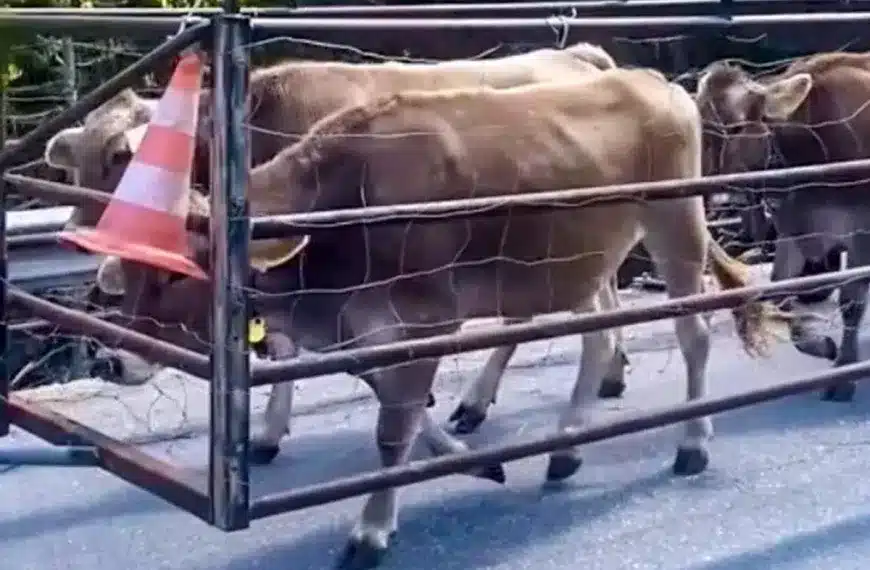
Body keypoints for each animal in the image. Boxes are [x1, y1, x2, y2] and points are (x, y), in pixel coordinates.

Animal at [78, 67, 775, 567]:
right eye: (130, 271)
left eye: (176, 273)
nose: (112, 358)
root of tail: (648, 79)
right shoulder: (368, 331)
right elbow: (395, 402)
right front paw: (468, 458)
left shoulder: (426, 319)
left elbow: (392, 428)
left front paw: (369, 531)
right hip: (581, 260)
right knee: (598, 338)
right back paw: (566, 448)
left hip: (675, 225)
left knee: (693, 334)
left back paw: (691, 444)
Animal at [694, 52, 870, 403]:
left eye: (735, 127)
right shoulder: (796, 230)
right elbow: (779, 291)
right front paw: (822, 346)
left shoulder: (862, 233)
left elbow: (851, 302)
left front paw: (844, 373)